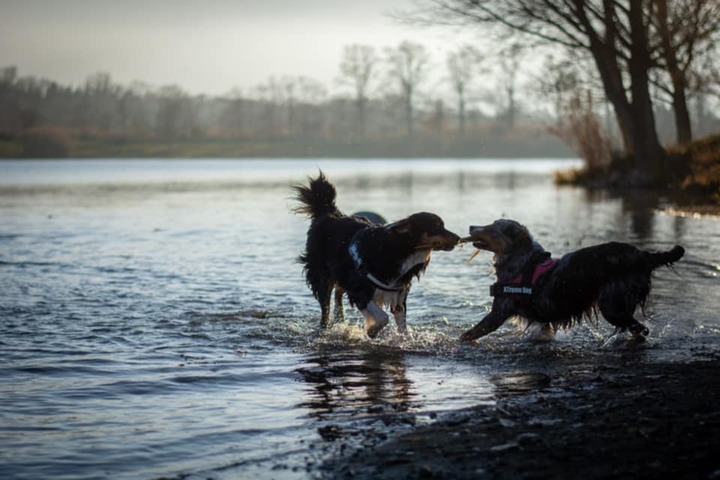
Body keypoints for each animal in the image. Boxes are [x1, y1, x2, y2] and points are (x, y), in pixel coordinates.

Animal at [292, 172, 456, 338]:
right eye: (436, 226)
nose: (458, 238)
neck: (401, 249)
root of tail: (329, 212)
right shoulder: (360, 289)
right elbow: (383, 317)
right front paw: (372, 330)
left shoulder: (398, 294)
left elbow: (402, 326)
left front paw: (403, 338)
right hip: (323, 276)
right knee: (325, 307)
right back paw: (327, 326)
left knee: (338, 293)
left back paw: (339, 318)